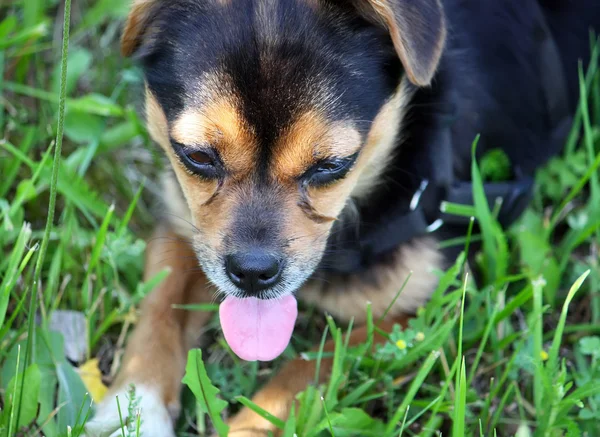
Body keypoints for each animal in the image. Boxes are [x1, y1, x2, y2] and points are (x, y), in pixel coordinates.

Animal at [84, 0, 600, 434]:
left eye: (332, 166)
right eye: (196, 156)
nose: (251, 272)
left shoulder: (416, 313)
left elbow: (304, 370)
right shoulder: (181, 225)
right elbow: (158, 307)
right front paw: (133, 406)